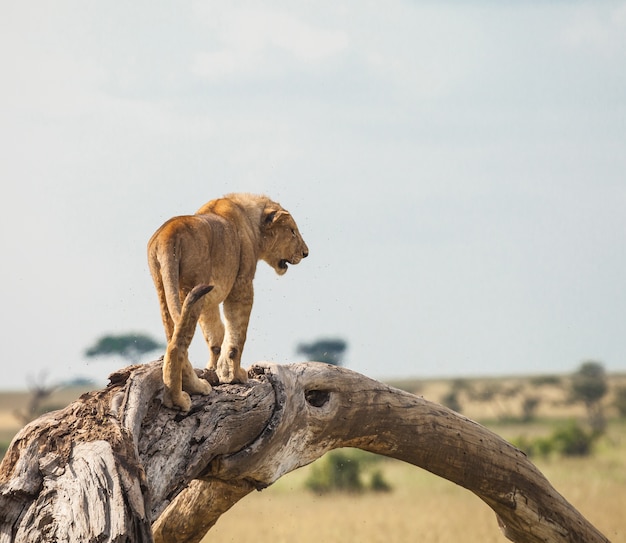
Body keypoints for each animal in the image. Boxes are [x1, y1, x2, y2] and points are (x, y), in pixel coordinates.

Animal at [146, 193, 308, 410]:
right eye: (292, 231)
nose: (306, 253)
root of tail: (168, 234)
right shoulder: (242, 285)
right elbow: (237, 333)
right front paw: (233, 375)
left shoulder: (211, 300)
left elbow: (216, 335)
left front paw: (216, 369)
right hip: (191, 285)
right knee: (177, 344)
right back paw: (179, 398)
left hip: (164, 289)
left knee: (174, 336)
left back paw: (194, 387)